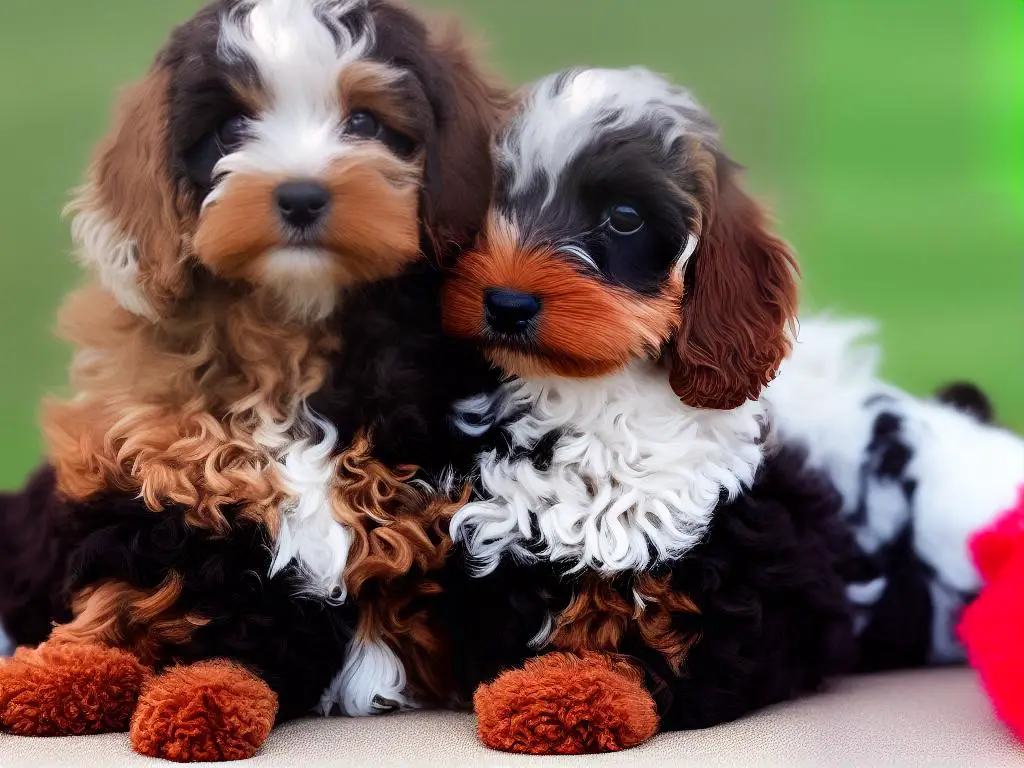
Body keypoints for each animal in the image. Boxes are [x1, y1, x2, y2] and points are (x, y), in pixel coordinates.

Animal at [0, 0, 503, 757]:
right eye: (231, 129)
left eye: (365, 123)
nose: (300, 196)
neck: (293, 327)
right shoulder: (160, 473)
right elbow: (135, 578)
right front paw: (65, 670)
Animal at [440, 67, 856, 757]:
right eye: (490, 204)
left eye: (625, 218)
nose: (506, 302)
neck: (594, 396)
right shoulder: (508, 545)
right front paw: (541, 691)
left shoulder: (717, 582)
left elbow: (652, 661)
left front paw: (573, 699)